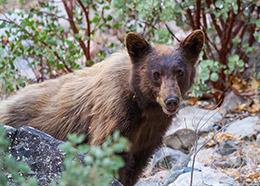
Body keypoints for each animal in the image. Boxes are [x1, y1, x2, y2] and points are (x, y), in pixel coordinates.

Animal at [0, 29, 205, 185]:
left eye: (180, 72)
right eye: (156, 74)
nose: (171, 100)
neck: (143, 105)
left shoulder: (151, 133)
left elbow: (136, 165)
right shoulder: (114, 111)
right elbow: (108, 153)